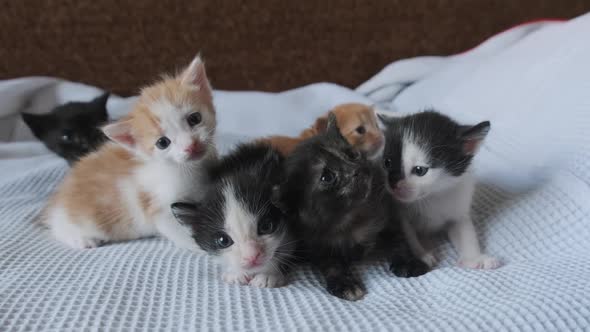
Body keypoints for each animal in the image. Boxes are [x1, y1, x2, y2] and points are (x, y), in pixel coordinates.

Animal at [44, 55, 219, 250]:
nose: (191, 145)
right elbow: (180, 231)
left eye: (194, 118)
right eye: (162, 143)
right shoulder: (159, 208)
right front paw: (204, 247)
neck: (187, 168)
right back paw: (82, 239)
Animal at [382, 111, 502, 270]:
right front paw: (421, 255)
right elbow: (407, 233)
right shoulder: (398, 212)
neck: (433, 195)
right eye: (387, 162)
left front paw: (475, 258)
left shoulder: (459, 205)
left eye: (419, 170)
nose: (393, 183)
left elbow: (466, 232)